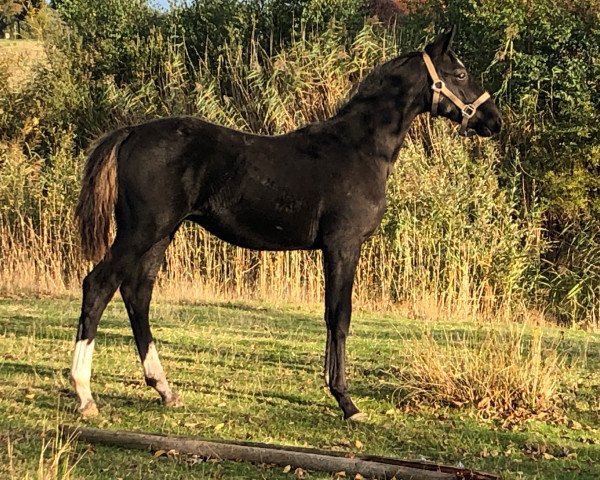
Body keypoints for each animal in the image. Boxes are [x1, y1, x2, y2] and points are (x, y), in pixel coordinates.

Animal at [70, 28, 502, 418]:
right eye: (460, 73)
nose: (493, 120)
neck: (360, 149)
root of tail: (131, 133)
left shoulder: (333, 250)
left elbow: (330, 315)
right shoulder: (343, 245)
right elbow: (340, 316)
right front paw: (346, 402)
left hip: (161, 234)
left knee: (137, 294)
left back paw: (164, 389)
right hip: (140, 231)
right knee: (99, 285)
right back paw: (85, 396)